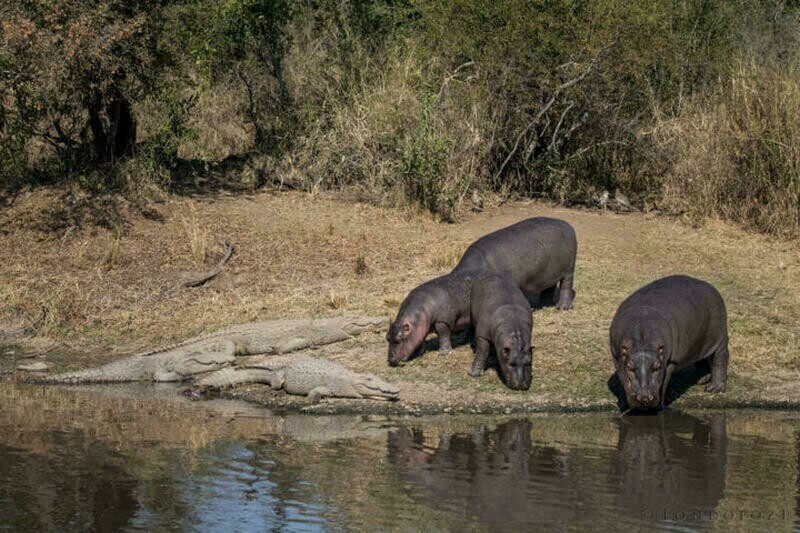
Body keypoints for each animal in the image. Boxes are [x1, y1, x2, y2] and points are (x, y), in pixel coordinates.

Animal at [608, 274, 728, 408]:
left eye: (657, 366)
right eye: (629, 366)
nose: (644, 397)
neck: (642, 338)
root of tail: (709, 286)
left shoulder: (670, 361)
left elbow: (664, 382)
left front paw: (660, 406)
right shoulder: (617, 358)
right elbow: (623, 379)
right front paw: (623, 404)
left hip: (721, 336)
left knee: (720, 359)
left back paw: (714, 389)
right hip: (699, 341)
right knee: (701, 358)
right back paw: (702, 380)